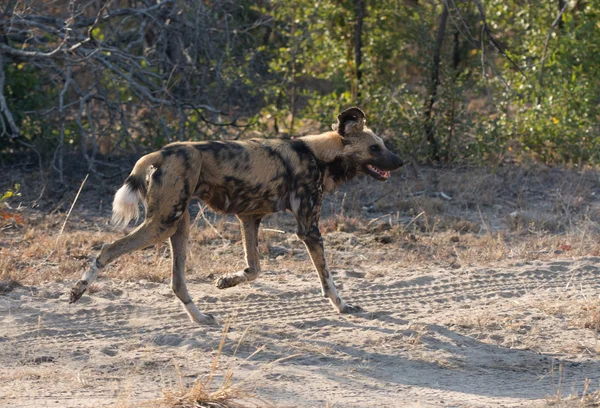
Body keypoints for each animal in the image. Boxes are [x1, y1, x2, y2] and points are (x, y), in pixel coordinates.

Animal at [70, 107, 404, 326]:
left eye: (383, 145)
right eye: (375, 147)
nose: (401, 162)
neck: (317, 155)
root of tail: (161, 152)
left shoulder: (249, 218)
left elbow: (254, 269)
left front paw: (227, 281)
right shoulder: (309, 229)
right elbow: (328, 280)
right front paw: (343, 307)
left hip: (178, 224)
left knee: (177, 282)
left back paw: (201, 318)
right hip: (162, 224)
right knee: (107, 249)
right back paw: (79, 289)